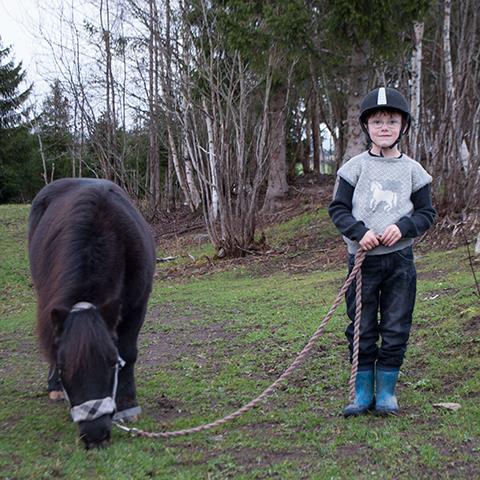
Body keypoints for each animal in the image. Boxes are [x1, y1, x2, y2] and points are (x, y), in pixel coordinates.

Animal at [27, 178, 156, 448]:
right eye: (63, 368)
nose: (96, 436)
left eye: (112, 363)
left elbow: (129, 352)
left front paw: (128, 406)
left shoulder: (138, 305)